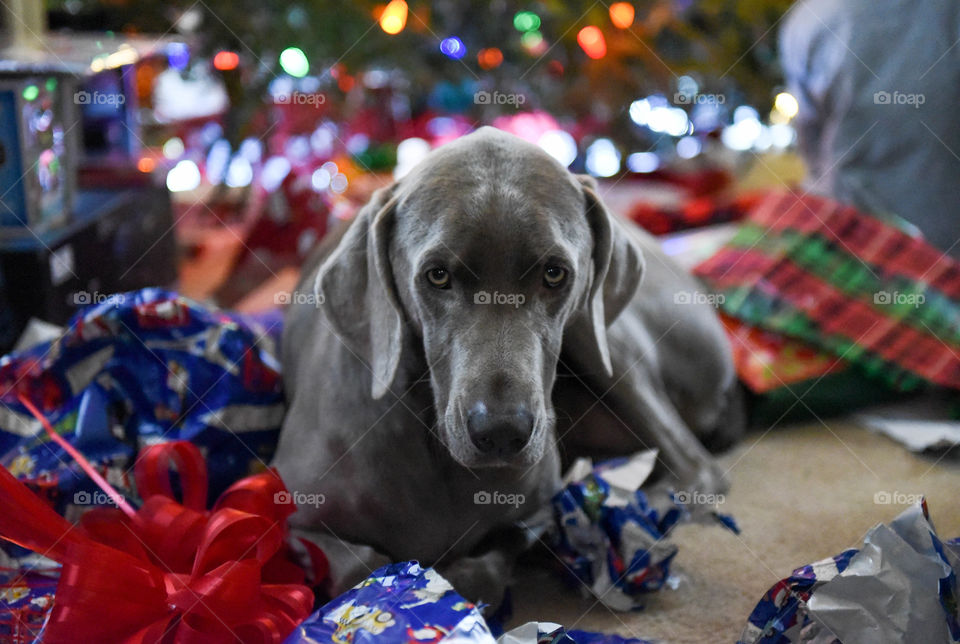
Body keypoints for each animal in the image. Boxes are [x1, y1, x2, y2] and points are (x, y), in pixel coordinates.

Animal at [270, 127, 744, 608]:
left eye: (555, 273)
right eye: (437, 275)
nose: (501, 432)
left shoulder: (537, 511)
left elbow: (492, 566)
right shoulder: (290, 513)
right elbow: (359, 565)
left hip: (600, 338)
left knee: (696, 468)